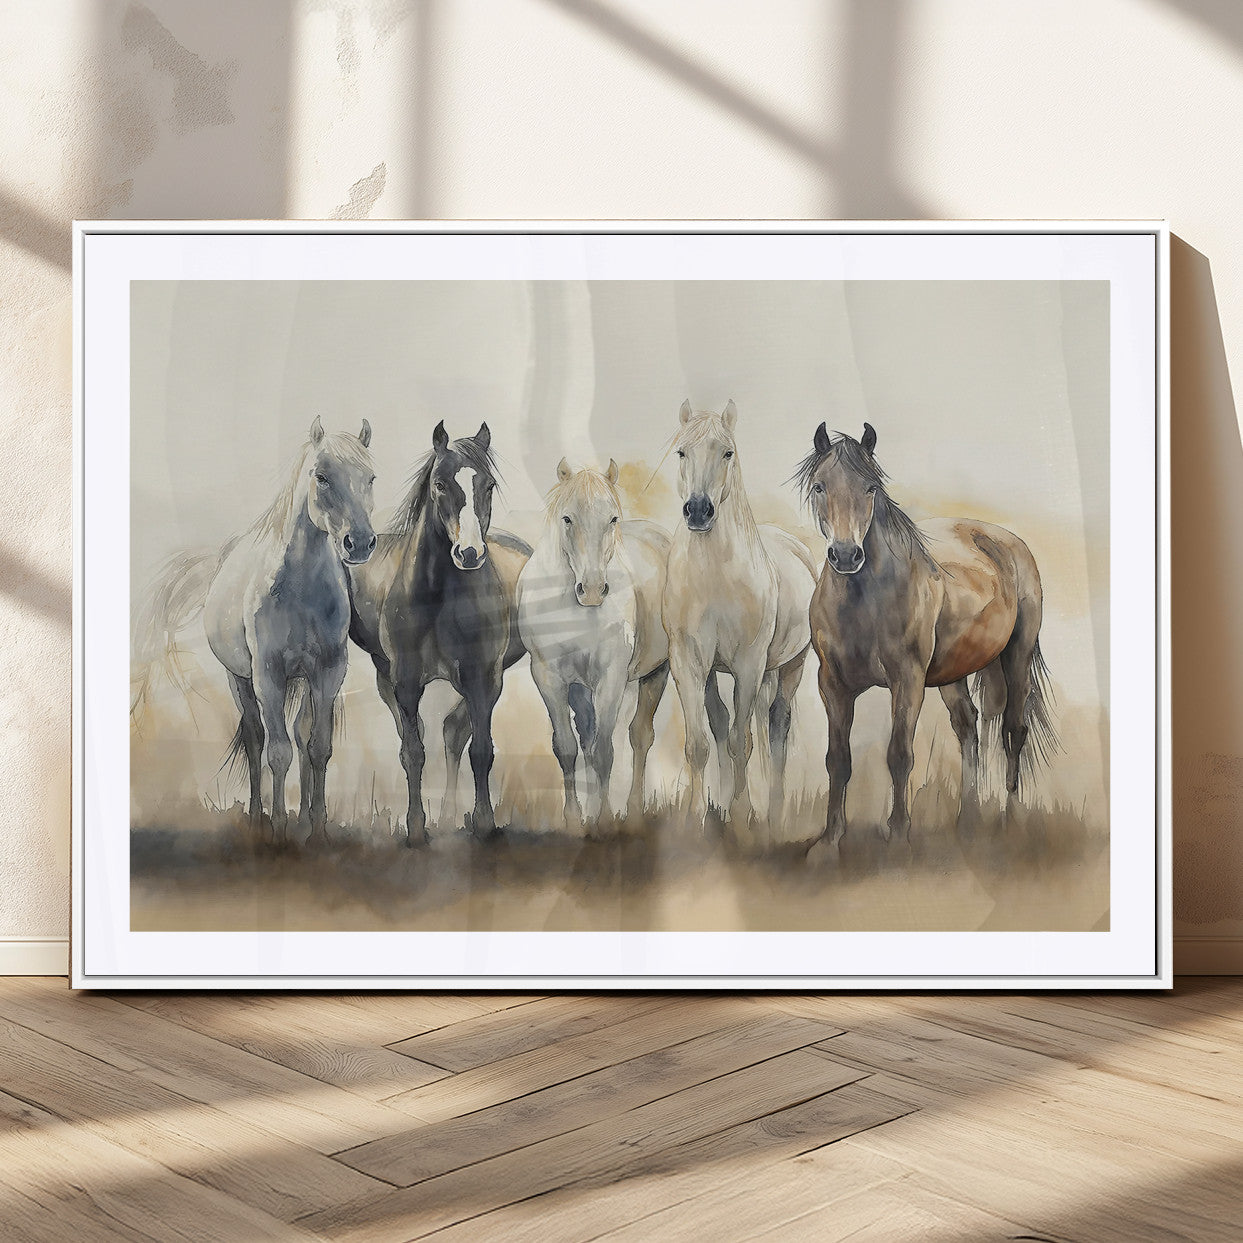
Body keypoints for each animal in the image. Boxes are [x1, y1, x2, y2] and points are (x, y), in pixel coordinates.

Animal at [171, 417, 377, 844]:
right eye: (321, 477)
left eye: (370, 477)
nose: (361, 543)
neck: (299, 589)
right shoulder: (268, 675)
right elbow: (277, 752)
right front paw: (279, 832)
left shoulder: (327, 672)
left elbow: (317, 747)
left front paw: (318, 831)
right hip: (240, 679)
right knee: (256, 739)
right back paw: (256, 817)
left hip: (299, 680)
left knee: (299, 734)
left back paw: (302, 821)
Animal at [348, 421, 530, 845]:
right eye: (441, 484)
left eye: (488, 485)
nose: (469, 553)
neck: (438, 597)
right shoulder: (405, 680)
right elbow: (413, 751)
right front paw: (416, 828)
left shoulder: (482, 678)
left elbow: (481, 750)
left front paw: (484, 823)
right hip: (386, 678)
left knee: (454, 733)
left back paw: (450, 815)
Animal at [517, 458, 671, 828]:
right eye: (567, 518)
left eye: (612, 518)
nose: (592, 590)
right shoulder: (549, 678)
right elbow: (567, 747)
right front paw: (575, 819)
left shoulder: (611, 677)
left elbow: (604, 750)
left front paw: (604, 820)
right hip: (580, 688)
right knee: (586, 736)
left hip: (657, 672)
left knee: (639, 736)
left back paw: (633, 810)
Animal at [663, 400, 817, 834]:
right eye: (681, 452)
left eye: (727, 453)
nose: (699, 511)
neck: (713, 581)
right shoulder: (689, 663)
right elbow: (701, 742)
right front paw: (697, 816)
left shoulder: (748, 665)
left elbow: (741, 741)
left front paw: (743, 811)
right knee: (725, 724)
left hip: (791, 665)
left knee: (776, 726)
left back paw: (775, 812)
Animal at [794, 422, 1058, 863]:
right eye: (819, 486)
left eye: (870, 487)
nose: (846, 556)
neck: (865, 603)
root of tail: (1006, 541)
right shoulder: (832, 686)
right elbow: (838, 761)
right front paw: (829, 843)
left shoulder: (908, 682)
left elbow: (900, 755)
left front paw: (899, 839)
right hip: (954, 673)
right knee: (968, 728)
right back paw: (968, 822)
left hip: (1016, 656)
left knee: (1013, 730)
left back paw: (1013, 819)